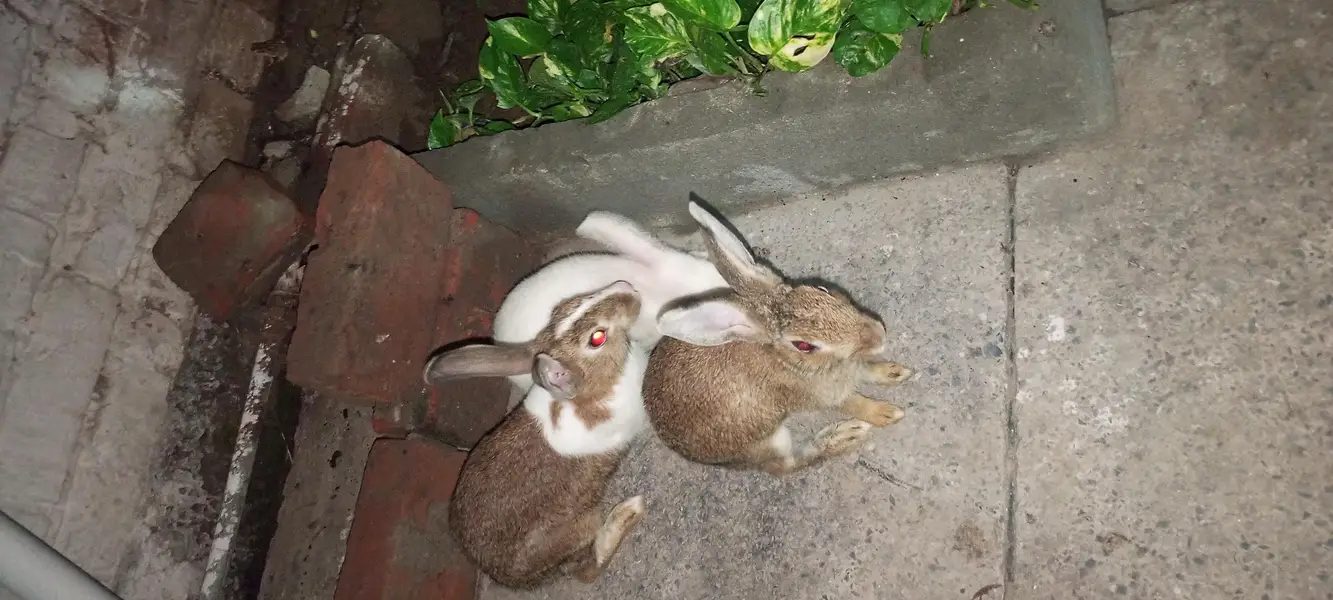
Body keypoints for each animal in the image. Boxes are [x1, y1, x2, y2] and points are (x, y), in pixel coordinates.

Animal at [424, 280, 652, 588]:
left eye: (564, 307)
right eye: (597, 338)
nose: (628, 289)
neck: (597, 388)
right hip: (583, 526)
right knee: (589, 570)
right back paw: (630, 510)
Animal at [642, 199, 915, 476]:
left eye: (821, 289)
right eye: (804, 345)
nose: (878, 334)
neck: (786, 361)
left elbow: (868, 370)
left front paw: (895, 372)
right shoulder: (823, 396)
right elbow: (855, 404)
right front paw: (886, 414)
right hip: (769, 442)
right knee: (786, 465)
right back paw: (843, 436)